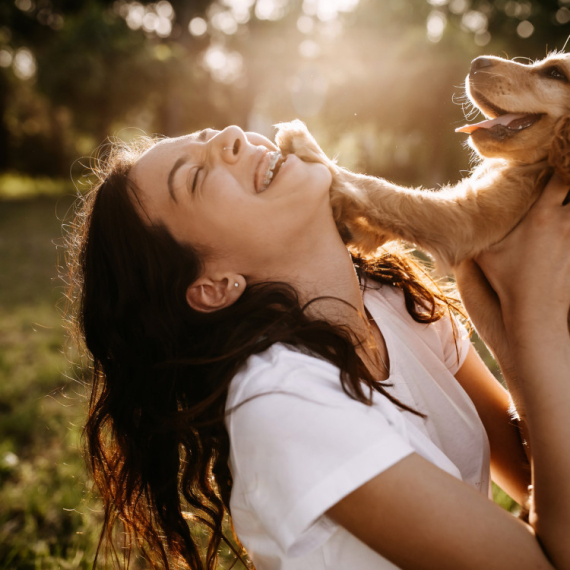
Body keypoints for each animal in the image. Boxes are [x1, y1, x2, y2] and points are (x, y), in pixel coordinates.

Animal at [272, 52, 568, 272]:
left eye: (555, 73)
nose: (476, 62)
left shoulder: (464, 222)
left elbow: (388, 193)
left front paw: (307, 146)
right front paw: (353, 228)